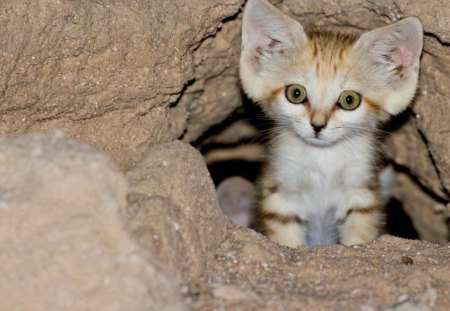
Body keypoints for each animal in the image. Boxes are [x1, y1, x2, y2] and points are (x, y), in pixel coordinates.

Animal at [241, 0, 424, 249]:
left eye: (349, 100)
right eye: (296, 93)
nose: (317, 125)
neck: (323, 159)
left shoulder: (362, 194)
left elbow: (358, 234)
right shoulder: (281, 194)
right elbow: (287, 238)